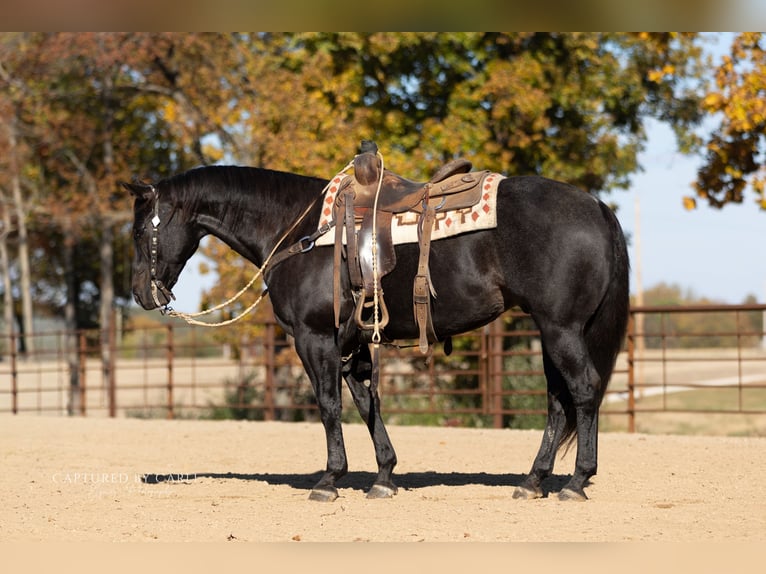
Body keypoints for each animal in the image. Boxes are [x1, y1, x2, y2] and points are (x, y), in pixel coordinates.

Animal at [125, 160, 629, 502]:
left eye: (138, 232)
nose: (140, 294)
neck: (299, 229)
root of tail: (596, 206)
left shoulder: (313, 339)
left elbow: (329, 405)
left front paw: (330, 479)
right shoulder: (353, 342)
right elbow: (367, 403)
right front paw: (384, 476)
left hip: (562, 329)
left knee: (583, 390)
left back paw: (576, 481)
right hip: (551, 330)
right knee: (558, 401)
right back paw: (533, 480)